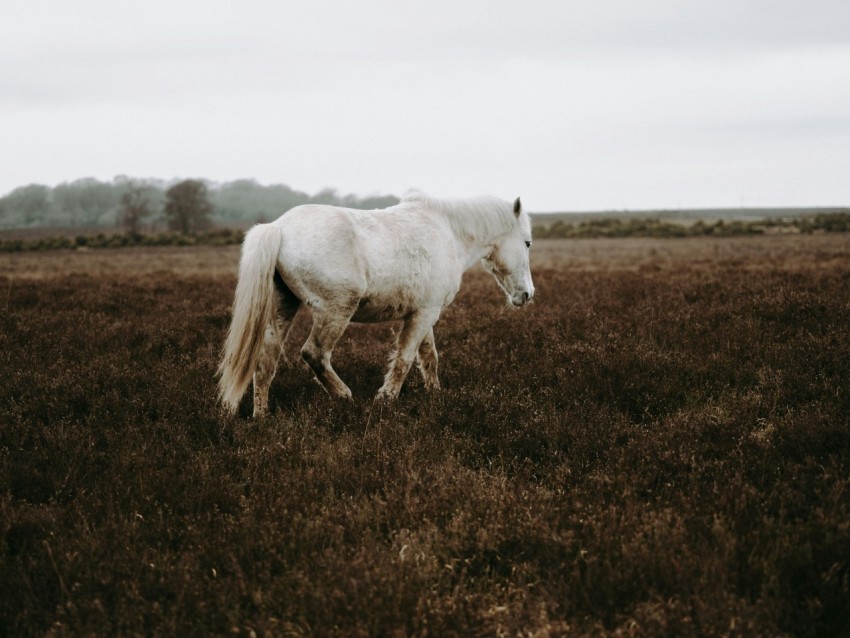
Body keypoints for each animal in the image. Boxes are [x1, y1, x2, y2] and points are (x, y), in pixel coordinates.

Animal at [222, 192, 532, 418]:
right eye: (527, 243)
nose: (527, 294)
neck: (448, 232)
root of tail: (279, 228)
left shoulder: (423, 314)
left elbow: (428, 358)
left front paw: (435, 395)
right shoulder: (424, 314)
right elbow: (405, 359)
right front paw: (385, 400)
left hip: (283, 307)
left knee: (265, 361)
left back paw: (261, 417)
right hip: (336, 312)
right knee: (314, 353)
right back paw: (344, 396)